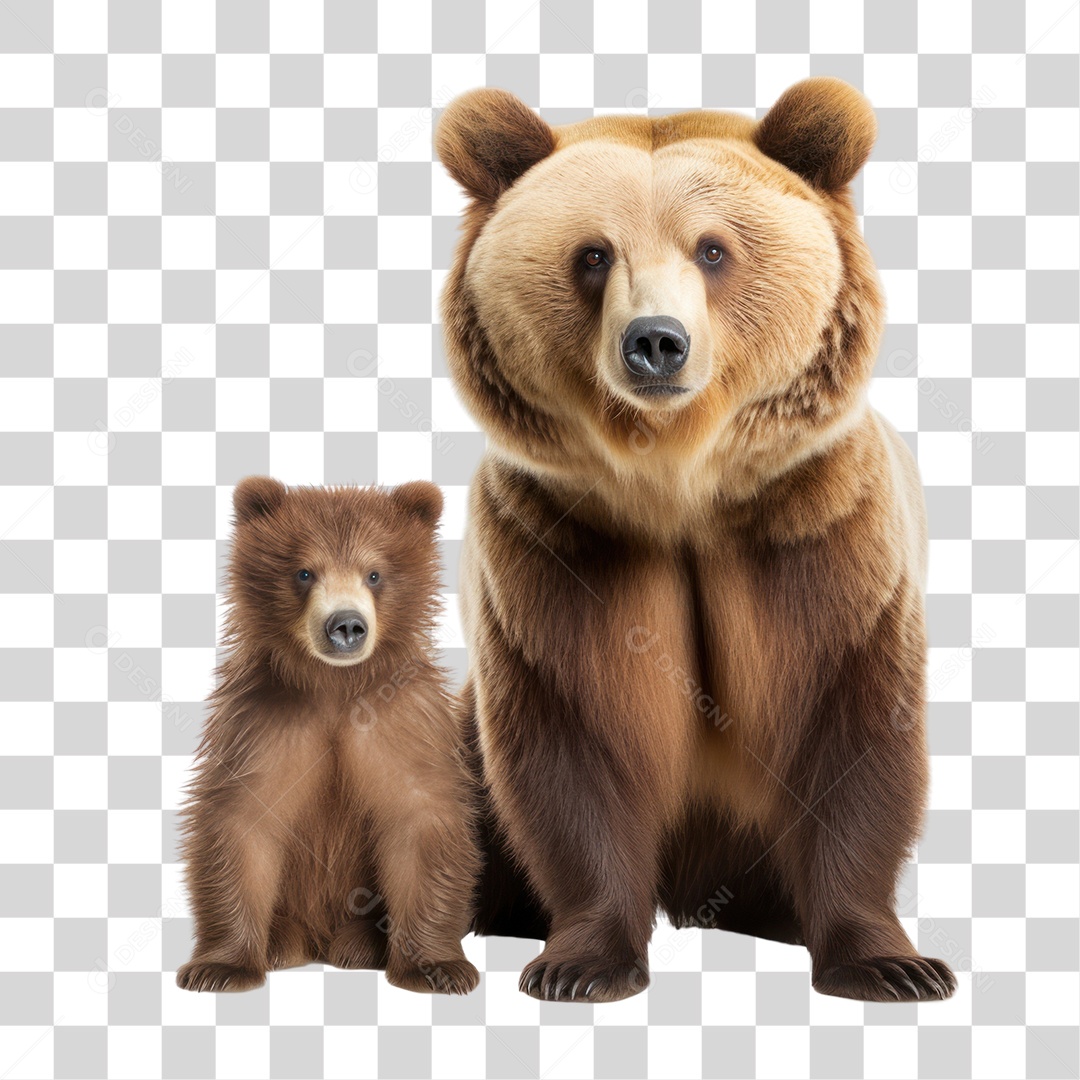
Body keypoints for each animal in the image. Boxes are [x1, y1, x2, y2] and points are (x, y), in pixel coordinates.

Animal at [176, 476, 480, 995]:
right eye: (303, 572)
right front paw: (220, 967)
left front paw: (438, 968)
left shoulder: (403, 723)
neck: (334, 687)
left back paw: (361, 944)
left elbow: (420, 820)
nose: (346, 625)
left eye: (374, 574)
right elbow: (241, 822)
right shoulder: (262, 724)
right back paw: (280, 942)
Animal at [434, 78, 957, 1004]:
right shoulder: (559, 545)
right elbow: (576, 737)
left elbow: (850, 728)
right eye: (593, 254)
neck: (679, 487)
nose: (655, 342)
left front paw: (890, 964)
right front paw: (580, 964)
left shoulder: (817, 529)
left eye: (713, 249)